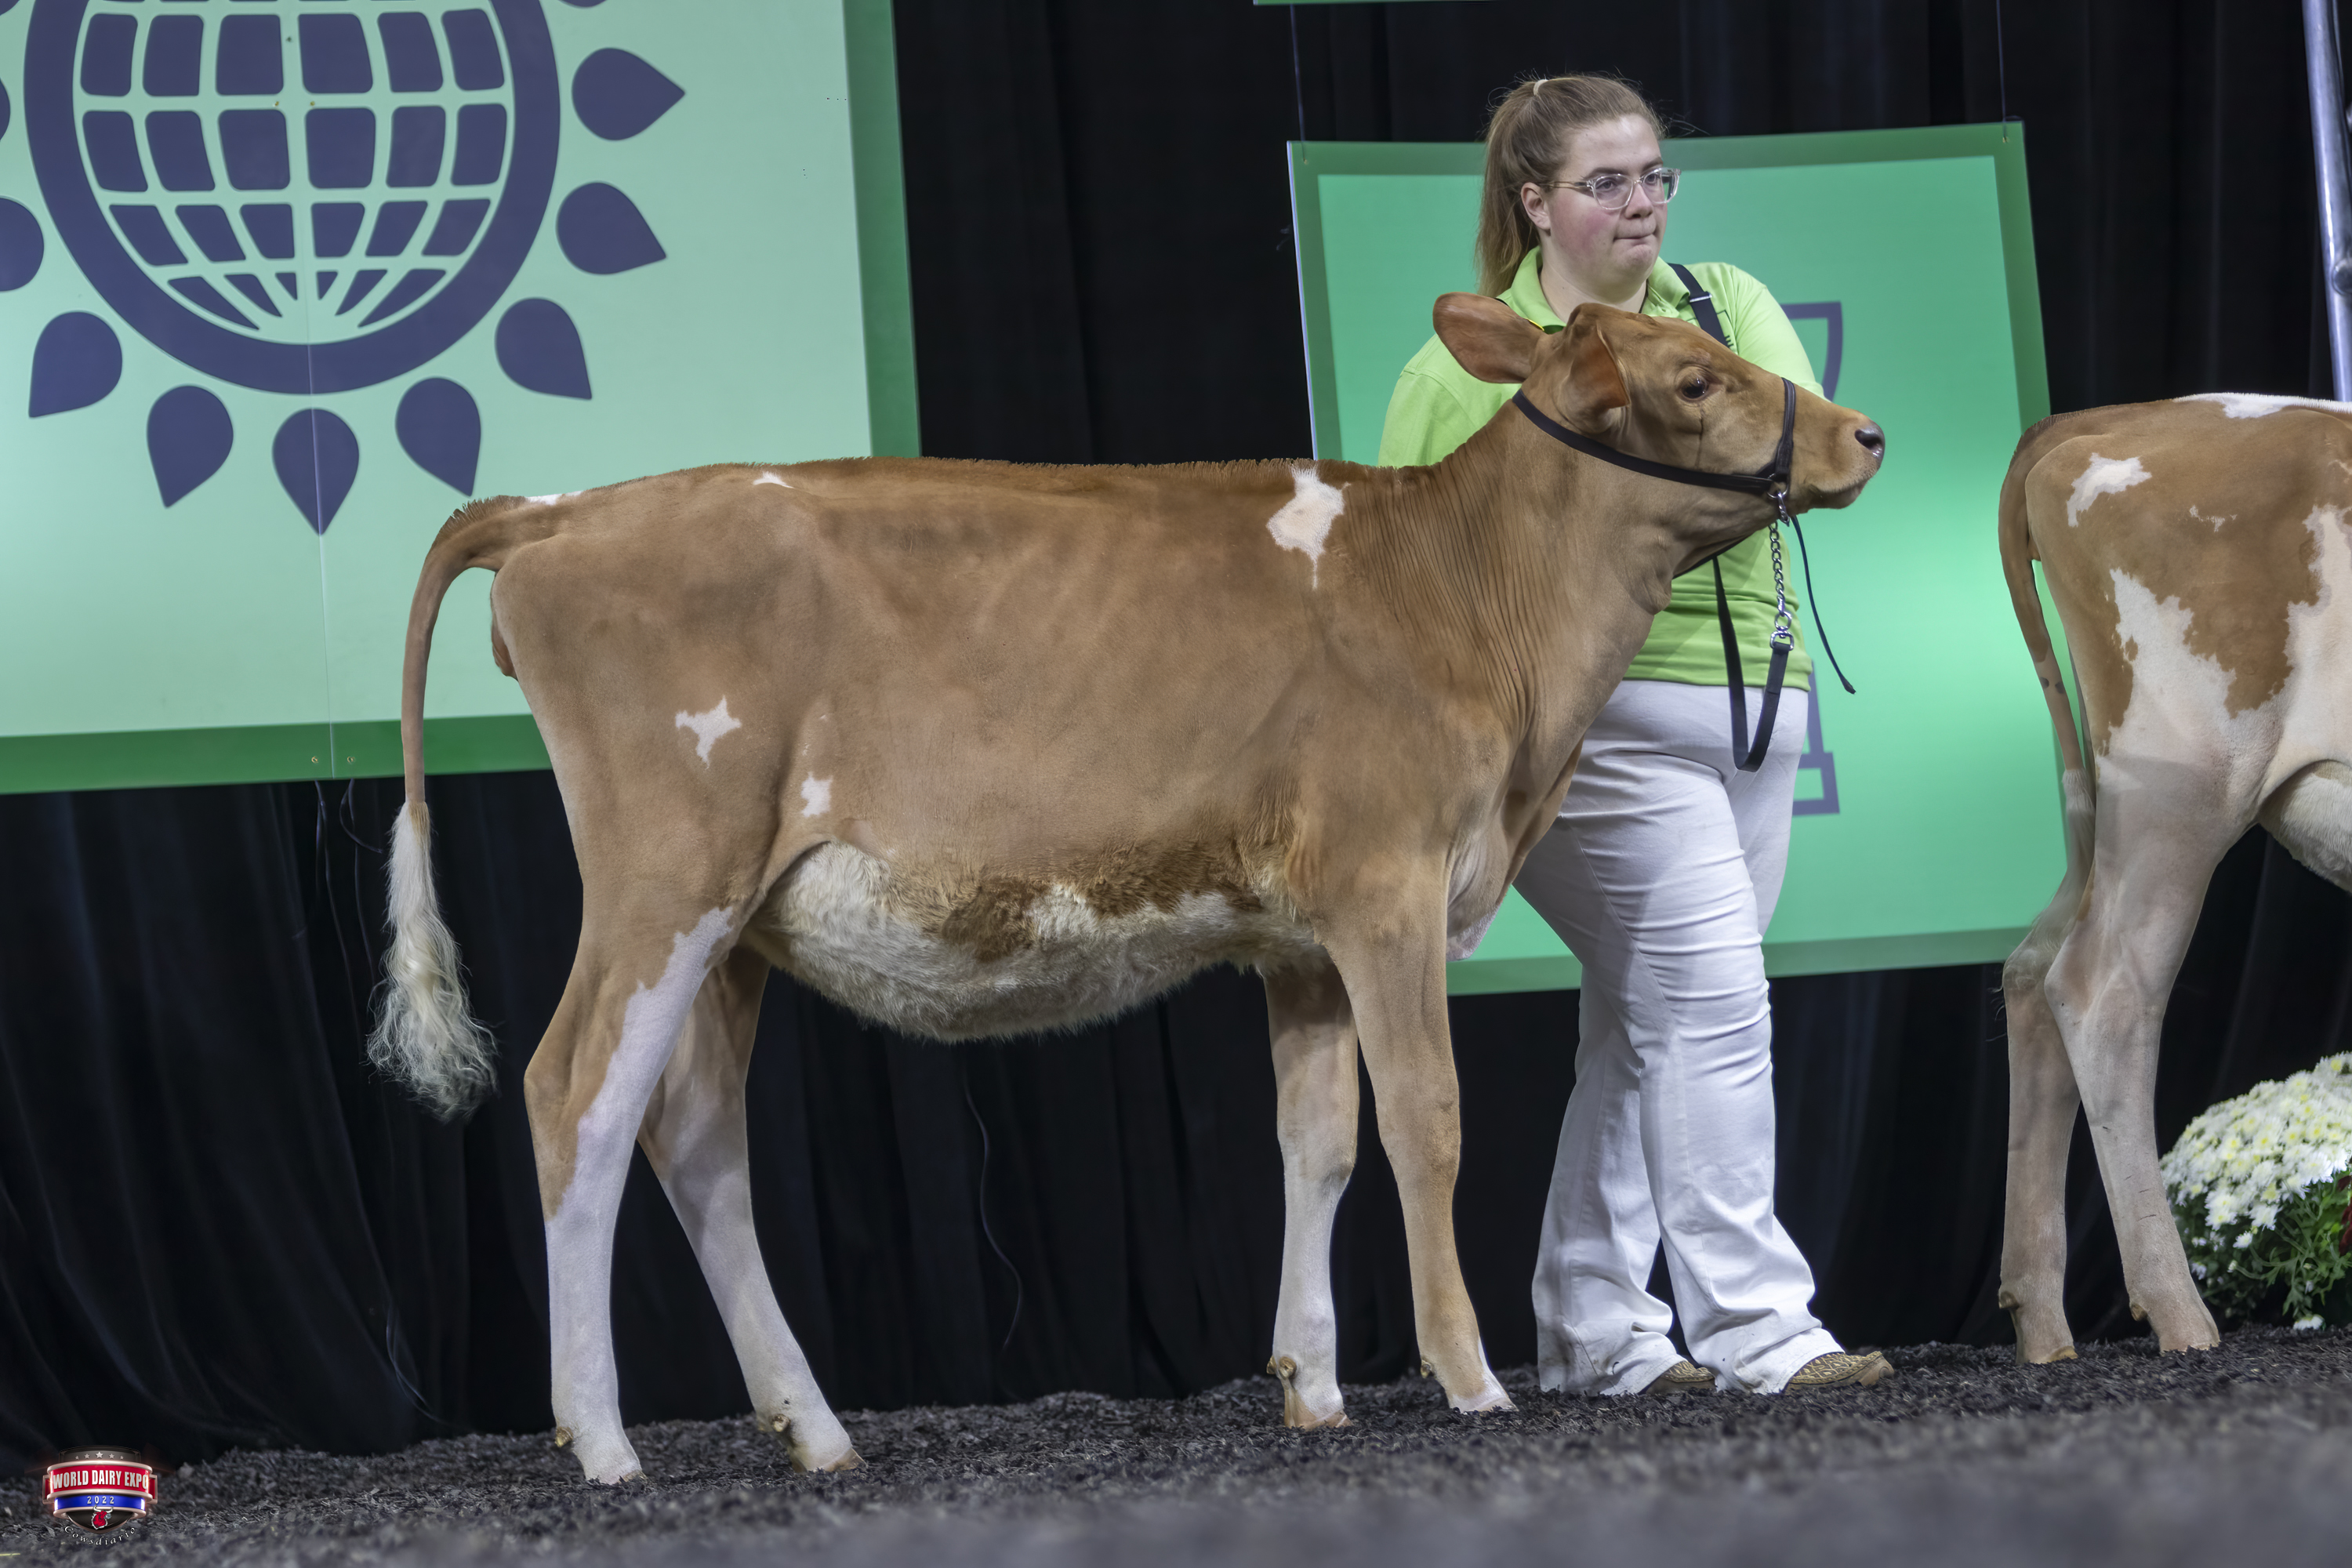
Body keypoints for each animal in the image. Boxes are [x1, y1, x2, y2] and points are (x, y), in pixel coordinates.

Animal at [369, 295, 1885, 1483]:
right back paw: (603, 1439)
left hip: (739, 922)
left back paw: (814, 1428)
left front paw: (1316, 1385)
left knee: (695, 1139)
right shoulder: (1389, 885)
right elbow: (1427, 1123)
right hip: (665, 874)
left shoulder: (1301, 939)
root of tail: (568, 509)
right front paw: (1468, 1378)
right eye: (1695, 379)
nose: (1864, 434)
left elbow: (1318, 1143)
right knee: (576, 1097)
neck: (1461, 596)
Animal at [1998, 393, 2352, 1365]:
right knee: (2100, 992)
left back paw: (2042, 1319)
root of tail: (2110, 417)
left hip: (2105, 814)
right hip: (2183, 786)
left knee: (2031, 968)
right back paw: (2177, 1311)